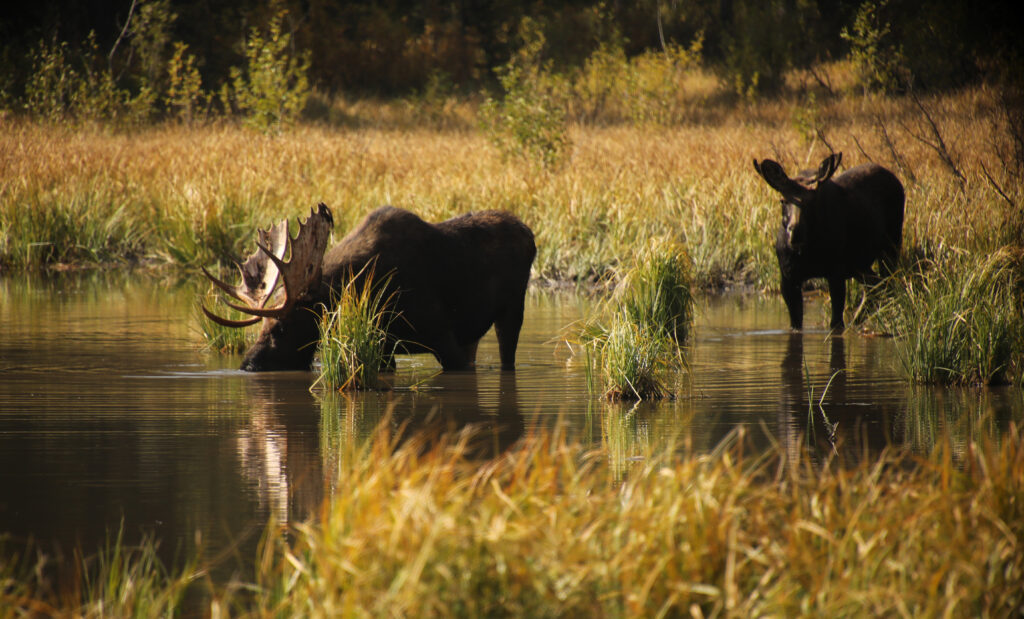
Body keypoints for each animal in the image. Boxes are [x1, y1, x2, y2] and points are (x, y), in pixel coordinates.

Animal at [199, 202, 536, 368]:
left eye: (282, 328)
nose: (247, 364)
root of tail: (530, 235)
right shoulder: (385, 347)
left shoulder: (442, 335)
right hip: (475, 333)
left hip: (512, 310)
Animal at [753, 152, 905, 332]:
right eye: (783, 200)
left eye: (812, 200)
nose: (795, 232)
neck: (808, 251)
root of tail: (896, 180)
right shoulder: (788, 278)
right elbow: (795, 325)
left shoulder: (836, 272)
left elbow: (836, 324)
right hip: (858, 265)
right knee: (874, 286)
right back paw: (857, 321)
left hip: (891, 244)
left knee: (887, 283)